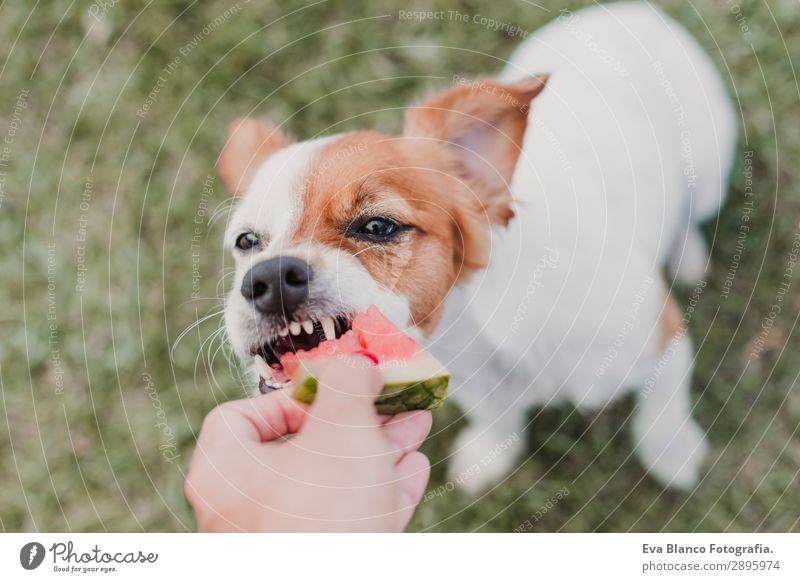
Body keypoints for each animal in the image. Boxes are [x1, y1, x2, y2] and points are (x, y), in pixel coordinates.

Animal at [216, 2, 736, 496]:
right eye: (246, 242)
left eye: (377, 226)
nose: (267, 278)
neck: (479, 331)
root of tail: (630, 12)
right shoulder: (477, 387)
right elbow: (495, 418)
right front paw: (490, 451)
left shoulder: (665, 338)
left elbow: (663, 407)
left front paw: (673, 453)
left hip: (710, 172)